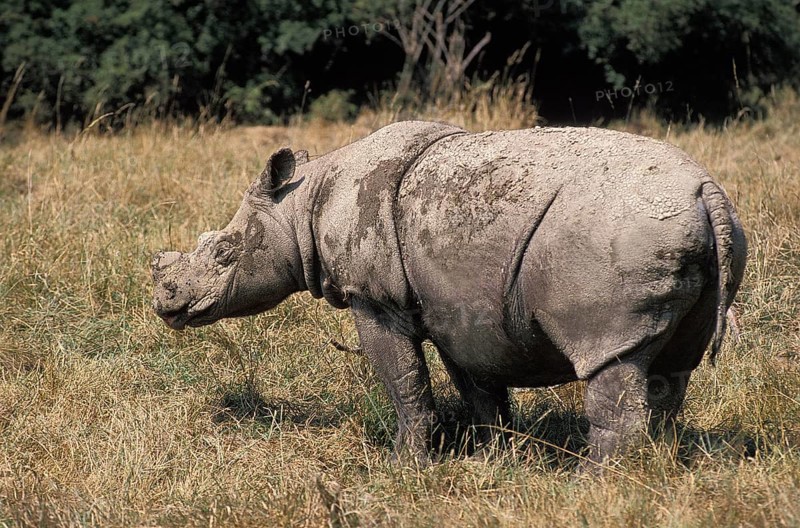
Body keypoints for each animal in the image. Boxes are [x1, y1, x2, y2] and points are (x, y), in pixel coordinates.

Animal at [151, 121, 746, 466]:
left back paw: (597, 483)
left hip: (620, 233)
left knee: (610, 357)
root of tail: (707, 191)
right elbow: (478, 386)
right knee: (671, 366)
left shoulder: (376, 299)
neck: (303, 204)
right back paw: (656, 471)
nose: (166, 304)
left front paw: (404, 468)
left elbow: (403, 380)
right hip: (703, 235)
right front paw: (494, 460)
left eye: (224, 253)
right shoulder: (458, 306)